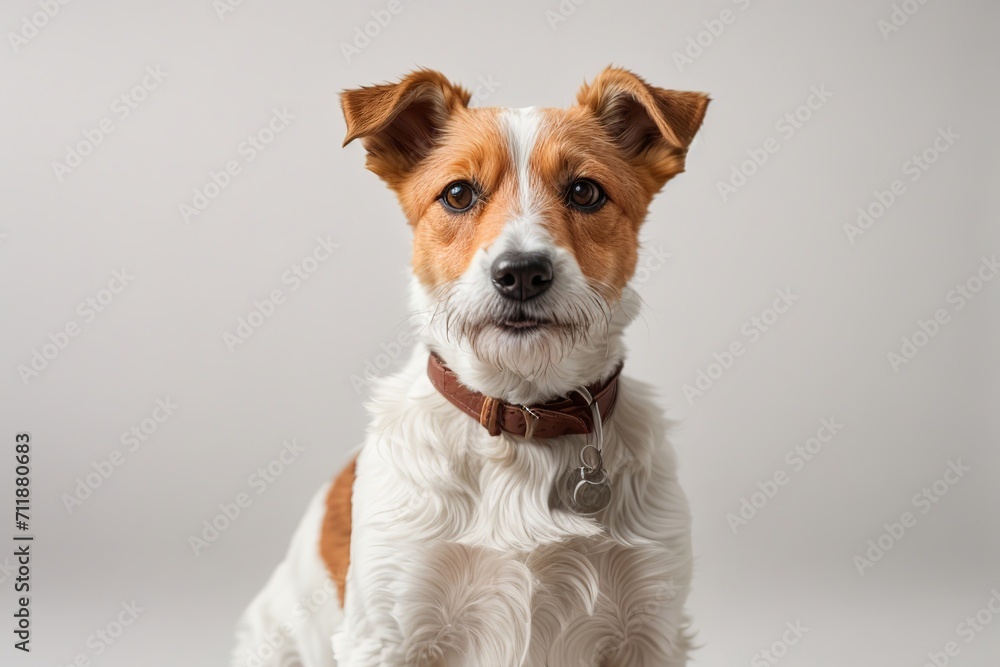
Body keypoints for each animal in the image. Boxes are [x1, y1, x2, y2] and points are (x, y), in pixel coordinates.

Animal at [231, 65, 708, 664]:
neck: (522, 419)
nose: (522, 272)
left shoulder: (651, 626)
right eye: (458, 193)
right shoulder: (389, 629)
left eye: (585, 191)